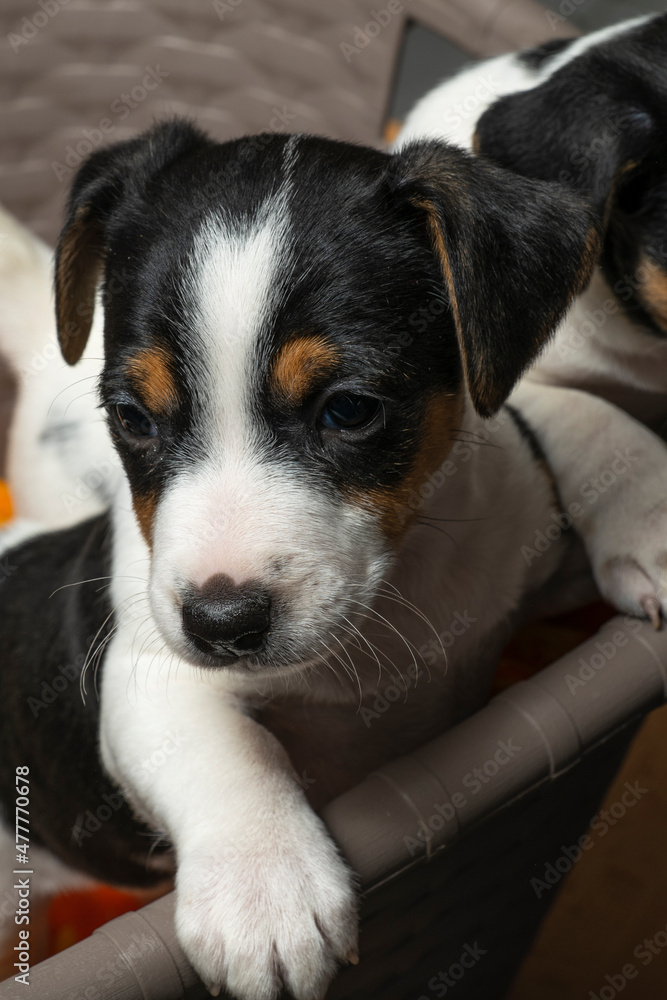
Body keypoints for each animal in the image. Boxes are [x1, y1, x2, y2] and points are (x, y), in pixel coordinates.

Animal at [0, 121, 640, 996]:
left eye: (349, 410)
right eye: (131, 416)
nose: (220, 623)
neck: (396, 600)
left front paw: (646, 508)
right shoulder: (144, 671)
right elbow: (227, 749)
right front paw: (264, 891)